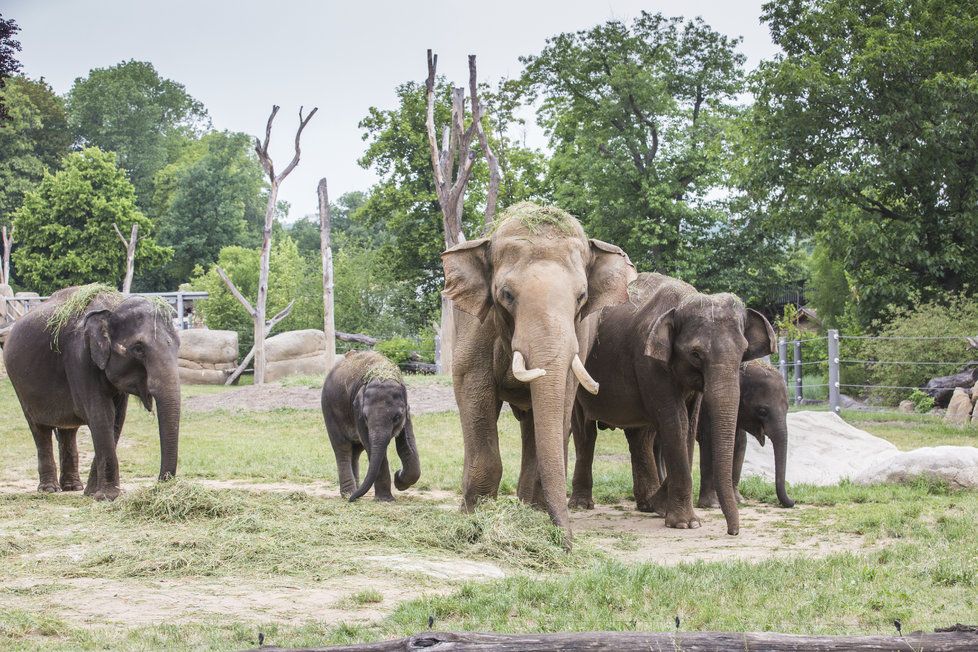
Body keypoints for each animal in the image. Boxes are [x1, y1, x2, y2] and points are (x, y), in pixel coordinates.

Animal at [320, 352, 420, 500]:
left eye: (397, 417)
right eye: (366, 417)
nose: (398, 473)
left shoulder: (406, 413)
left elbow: (407, 443)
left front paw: (398, 482)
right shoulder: (357, 412)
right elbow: (371, 447)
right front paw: (385, 500)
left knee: (355, 451)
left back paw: (356, 492)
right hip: (329, 409)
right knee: (342, 447)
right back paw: (349, 493)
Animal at [440, 201, 632, 544]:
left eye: (581, 297)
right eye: (506, 295)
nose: (567, 545)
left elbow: (562, 396)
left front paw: (536, 518)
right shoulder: (474, 331)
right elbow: (473, 389)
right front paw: (474, 518)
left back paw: (529, 506)